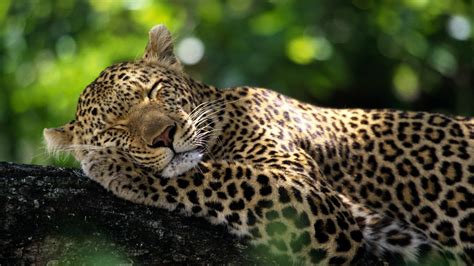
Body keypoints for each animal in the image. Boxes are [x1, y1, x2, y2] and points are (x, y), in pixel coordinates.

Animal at [42, 24, 472, 264]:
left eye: (155, 90)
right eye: (116, 125)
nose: (163, 136)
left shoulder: (313, 201)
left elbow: (222, 176)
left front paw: (115, 168)